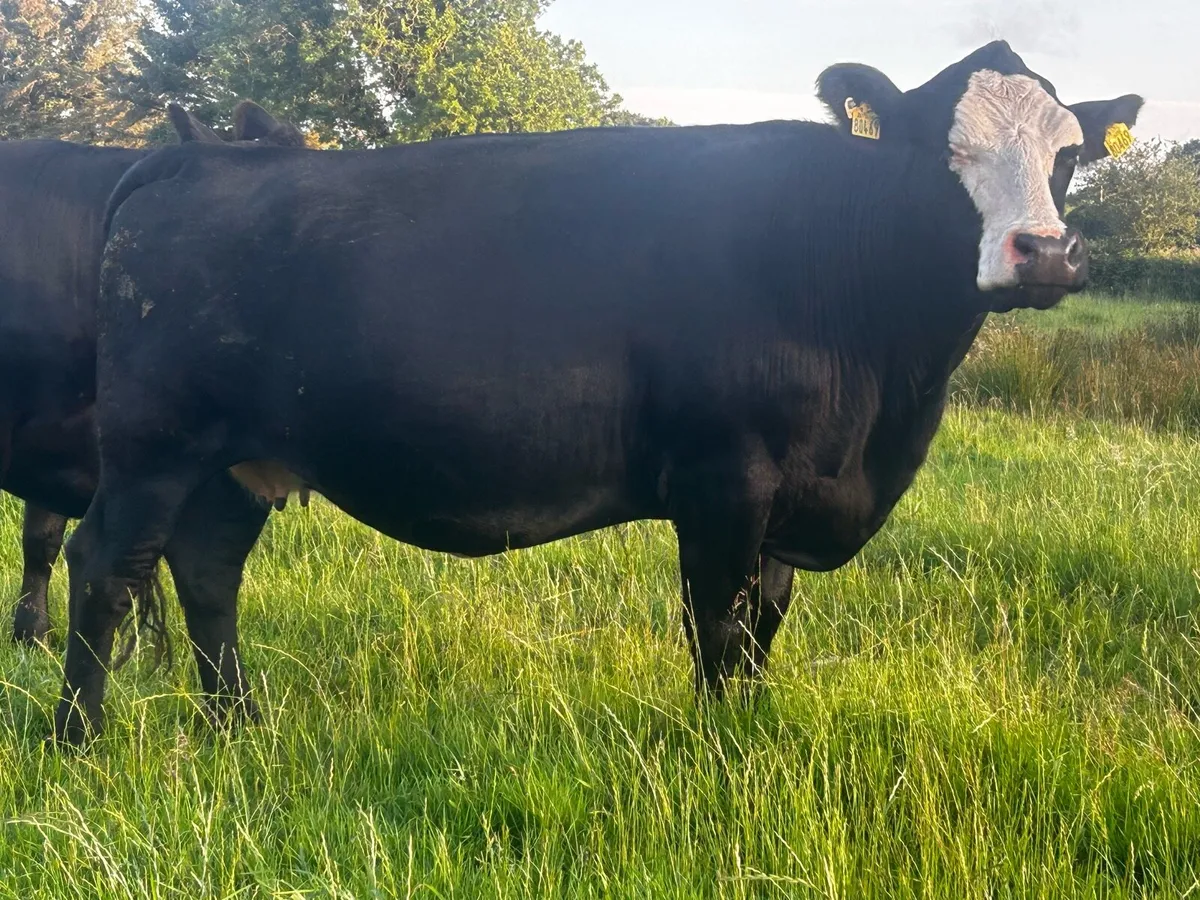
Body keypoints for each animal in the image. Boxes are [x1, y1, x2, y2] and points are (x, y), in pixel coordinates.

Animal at [52, 40, 1143, 745]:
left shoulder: (790, 497)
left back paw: (238, 729)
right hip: (152, 446)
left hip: (238, 458)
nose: (1045, 253)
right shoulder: (724, 479)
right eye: (939, 148)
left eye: (1068, 155)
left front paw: (753, 738)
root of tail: (194, 158)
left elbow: (763, 630)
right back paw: (80, 742)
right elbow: (718, 630)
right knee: (105, 565)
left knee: (206, 573)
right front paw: (720, 759)